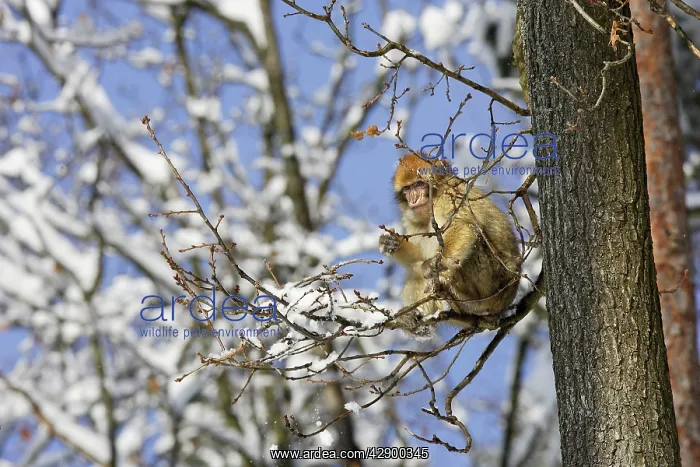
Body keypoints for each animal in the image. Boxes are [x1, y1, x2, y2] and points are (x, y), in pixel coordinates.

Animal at [379, 153, 522, 336]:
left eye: (419, 184)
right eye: (407, 189)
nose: (414, 199)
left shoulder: (450, 198)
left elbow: (464, 227)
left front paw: (431, 265)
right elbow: (418, 256)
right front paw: (391, 244)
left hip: (491, 286)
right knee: (415, 271)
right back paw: (418, 323)